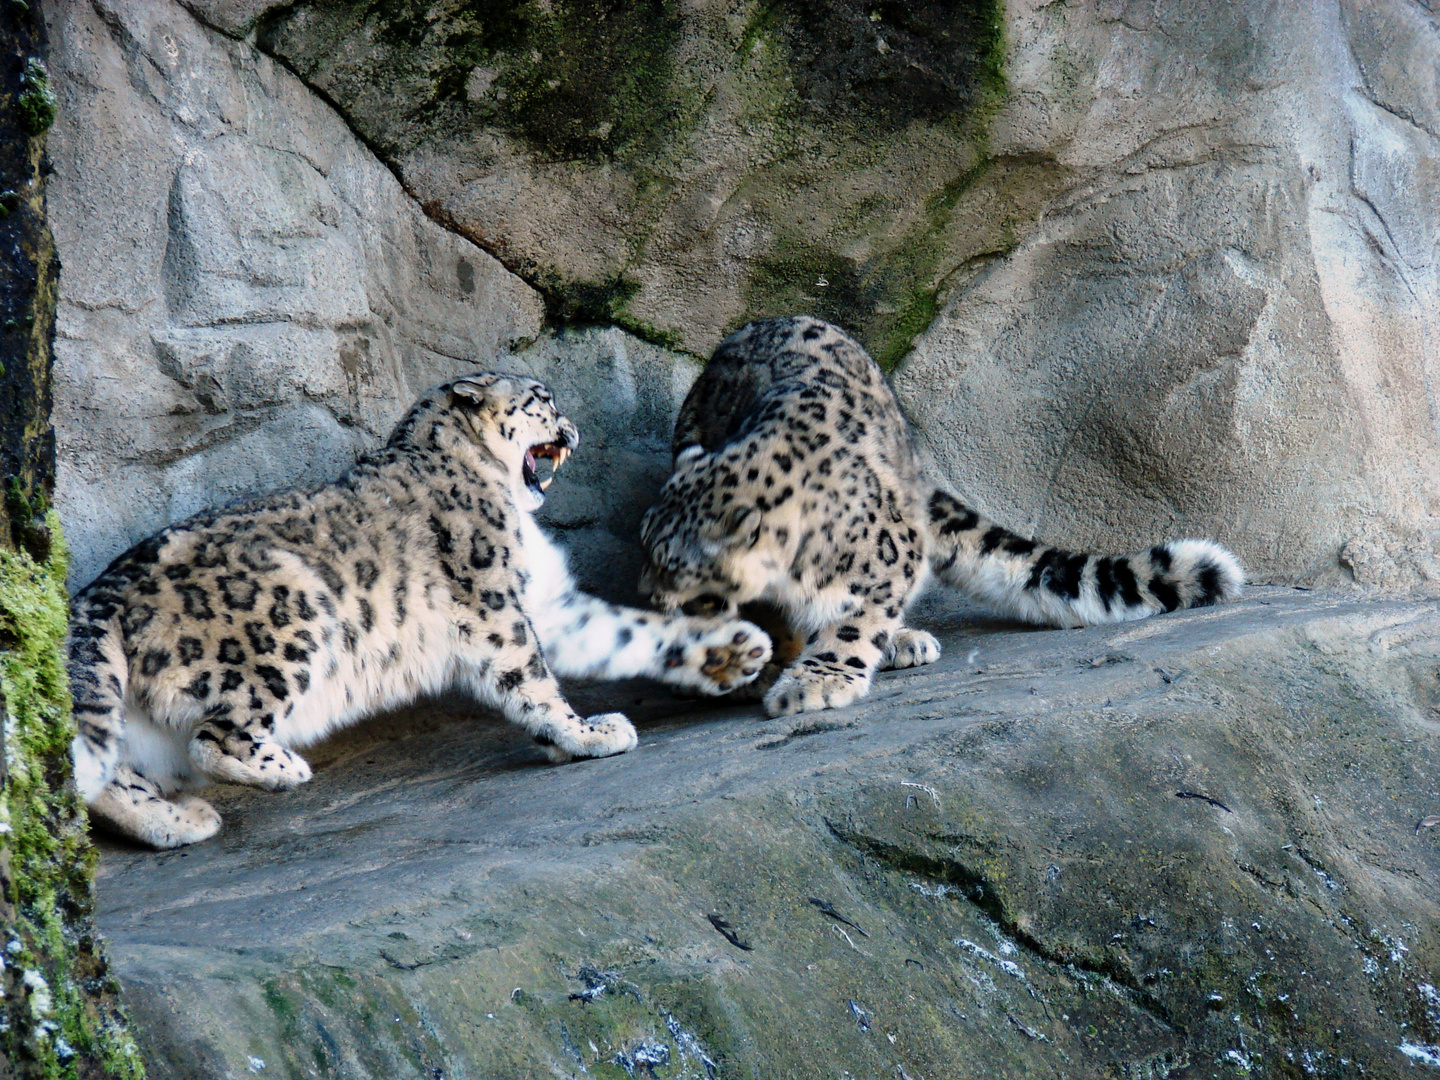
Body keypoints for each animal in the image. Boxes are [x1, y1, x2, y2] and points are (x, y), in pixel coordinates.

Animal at [68, 377, 771, 852]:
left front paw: (735, 650)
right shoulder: (495, 603)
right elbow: (531, 678)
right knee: (214, 735)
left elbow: (626, 632)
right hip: (288, 614)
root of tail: (105, 586)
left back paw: (178, 820)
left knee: (109, 774)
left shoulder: (550, 606)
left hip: (141, 723)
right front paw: (584, 734)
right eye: (543, 400)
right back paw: (280, 768)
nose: (575, 429)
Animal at [636, 315, 1244, 720]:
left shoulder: (888, 552)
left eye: (675, 566)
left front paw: (815, 682)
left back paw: (898, 640)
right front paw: (757, 664)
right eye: (645, 546)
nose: (648, 597)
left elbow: (854, 620)